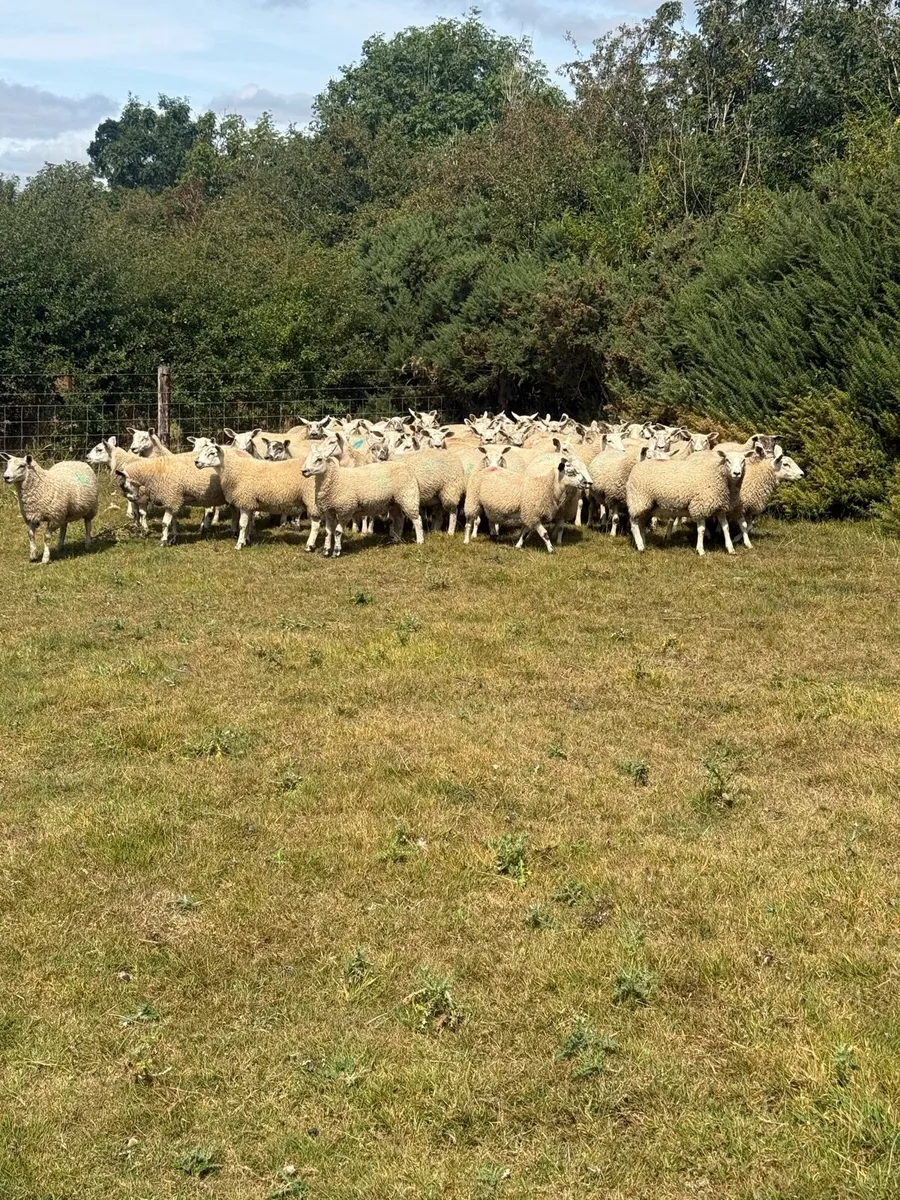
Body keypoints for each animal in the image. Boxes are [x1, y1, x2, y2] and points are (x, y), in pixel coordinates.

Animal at [193, 442, 322, 551]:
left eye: (212, 453)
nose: (196, 462)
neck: (236, 468)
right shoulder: (250, 503)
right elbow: (248, 524)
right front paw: (246, 541)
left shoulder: (244, 500)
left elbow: (242, 525)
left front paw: (239, 545)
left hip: (311, 498)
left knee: (316, 524)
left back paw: (309, 546)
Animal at [463, 443, 592, 552]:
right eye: (570, 472)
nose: (585, 482)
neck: (546, 485)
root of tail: (488, 468)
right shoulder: (533, 514)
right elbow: (544, 534)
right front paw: (551, 550)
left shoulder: (529, 515)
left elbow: (524, 533)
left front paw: (518, 545)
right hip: (473, 501)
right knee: (469, 523)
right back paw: (466, 540)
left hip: (489, 506)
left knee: (491, 519)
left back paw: (494, 536)